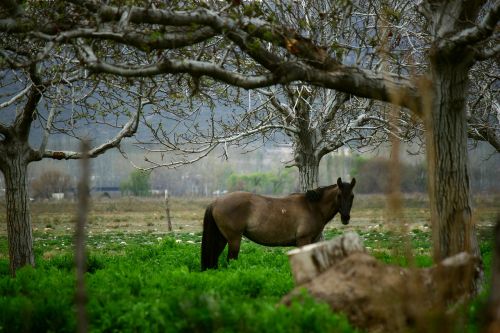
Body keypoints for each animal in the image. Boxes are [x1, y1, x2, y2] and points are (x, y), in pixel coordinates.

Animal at [199, 176, 356, 270]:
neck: (312, 207)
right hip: (234, 239)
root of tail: (216, 201)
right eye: (339, 195)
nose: (346, 218)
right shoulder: (303, 241)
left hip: (221, 238)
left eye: (352, 196)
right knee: (230, 260)